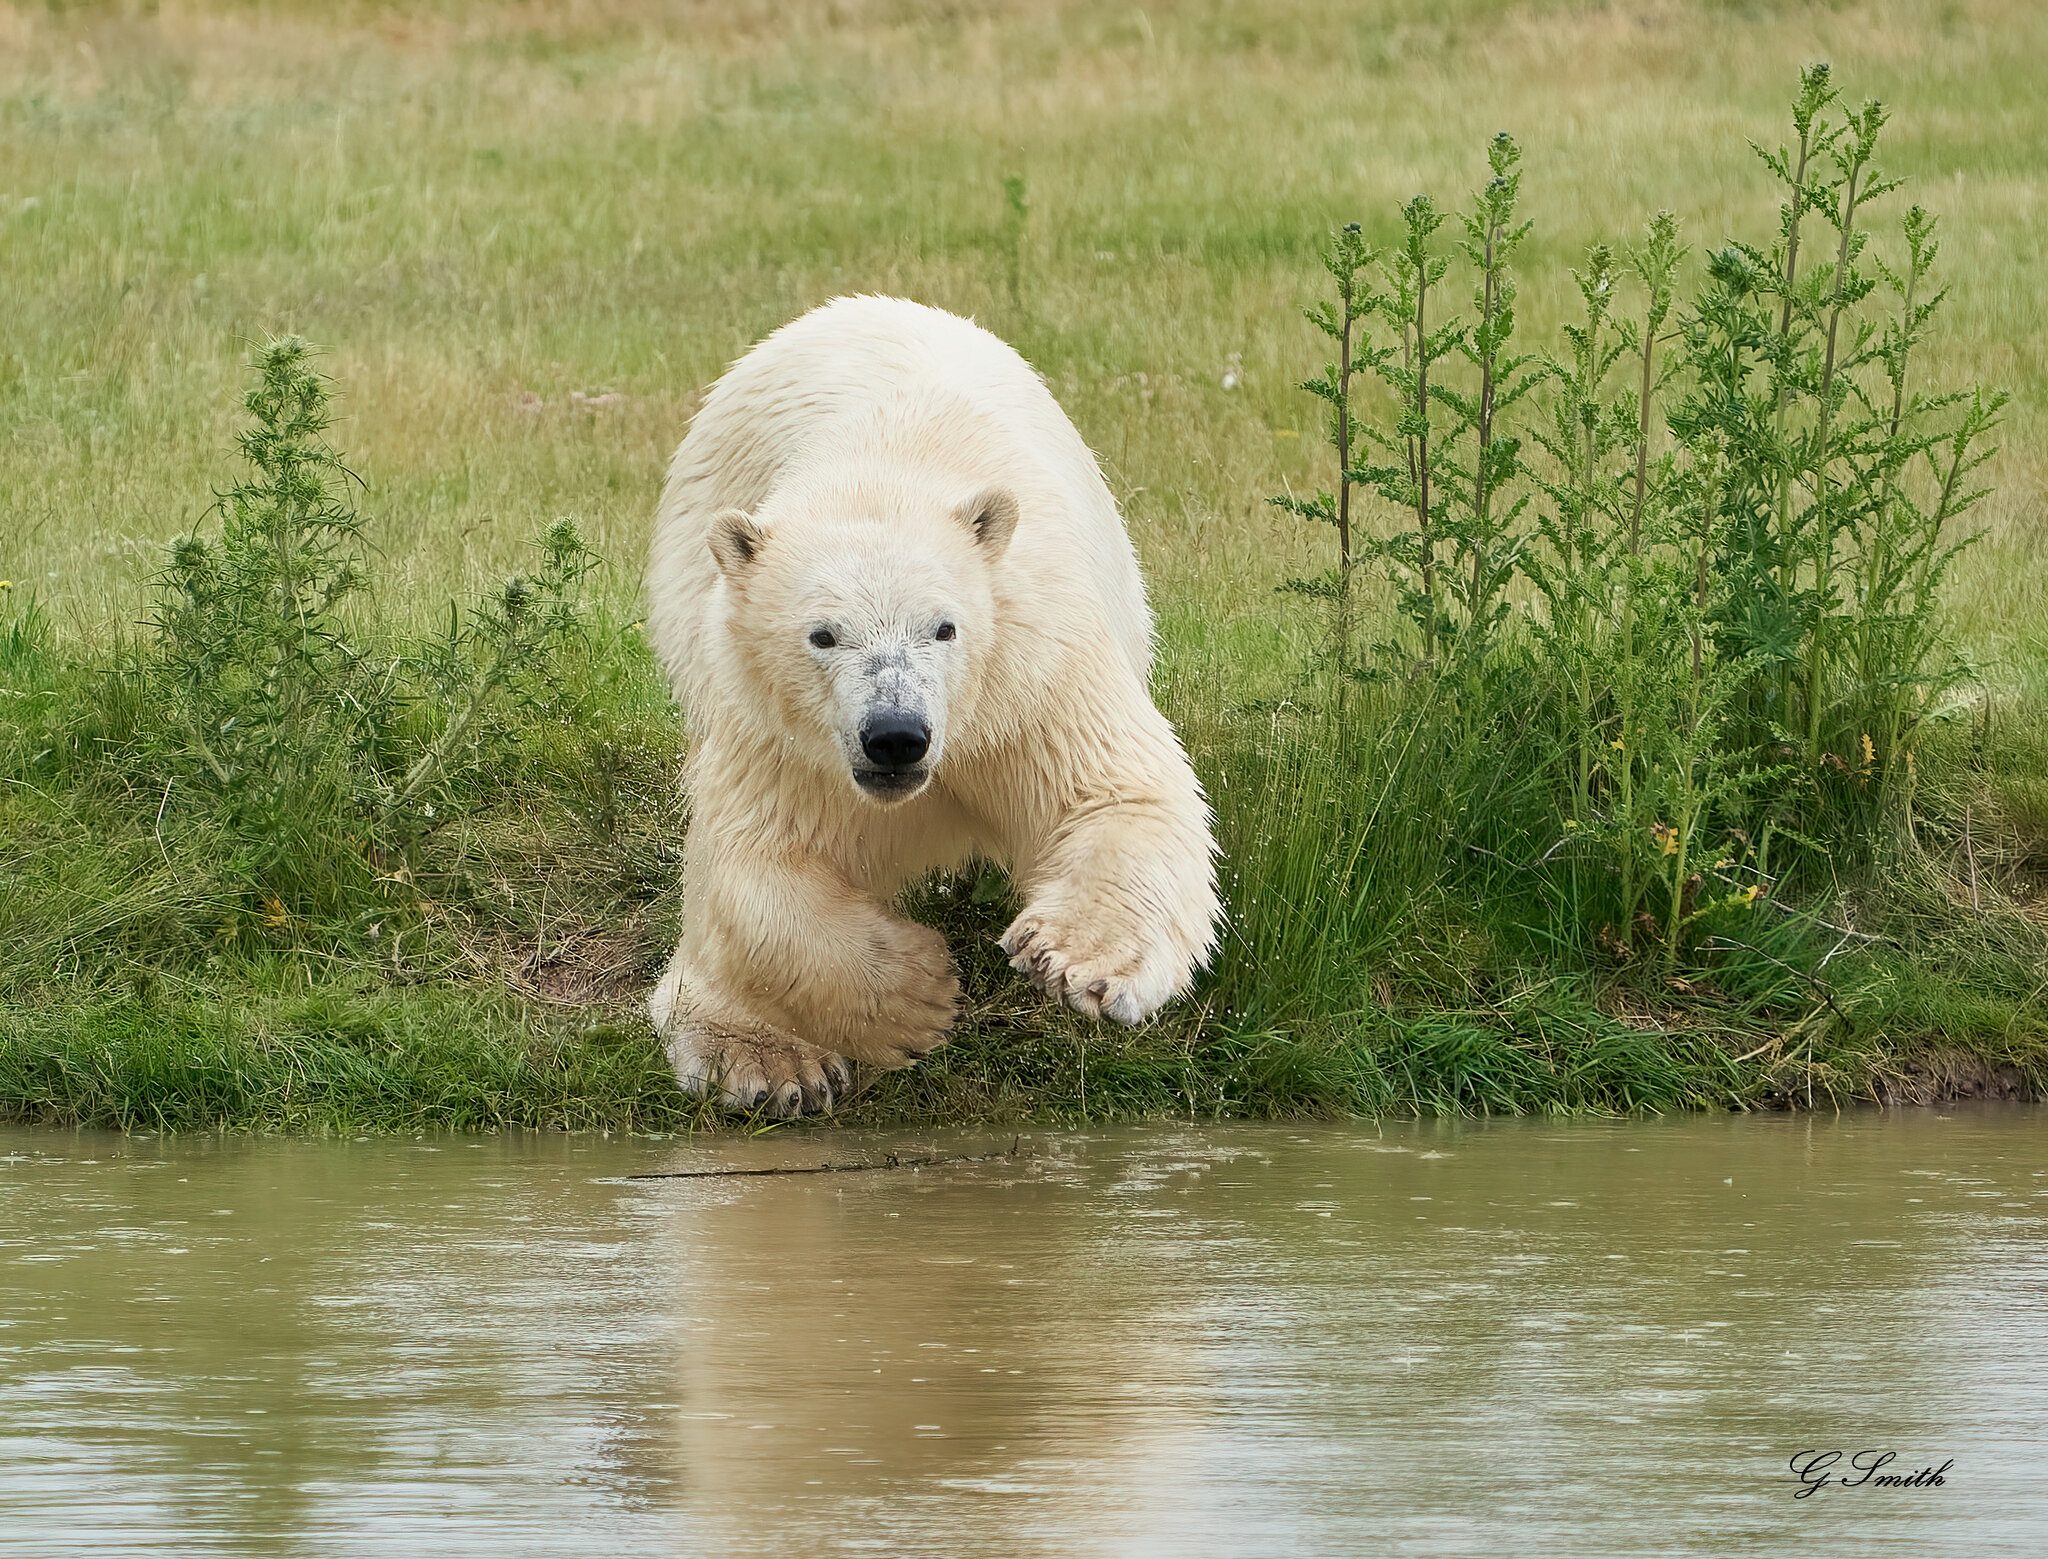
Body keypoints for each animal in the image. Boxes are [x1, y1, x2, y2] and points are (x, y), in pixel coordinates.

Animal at [643, 297, 1212, 1114]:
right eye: (823, 634)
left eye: (943, 626)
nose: (895, 736)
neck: (885, 476)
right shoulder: (779, 731)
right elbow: (759, 865)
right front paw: (920, 992)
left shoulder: (1029, 673)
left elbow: (1116, 792)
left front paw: (1068, 959)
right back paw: (764, 1059)